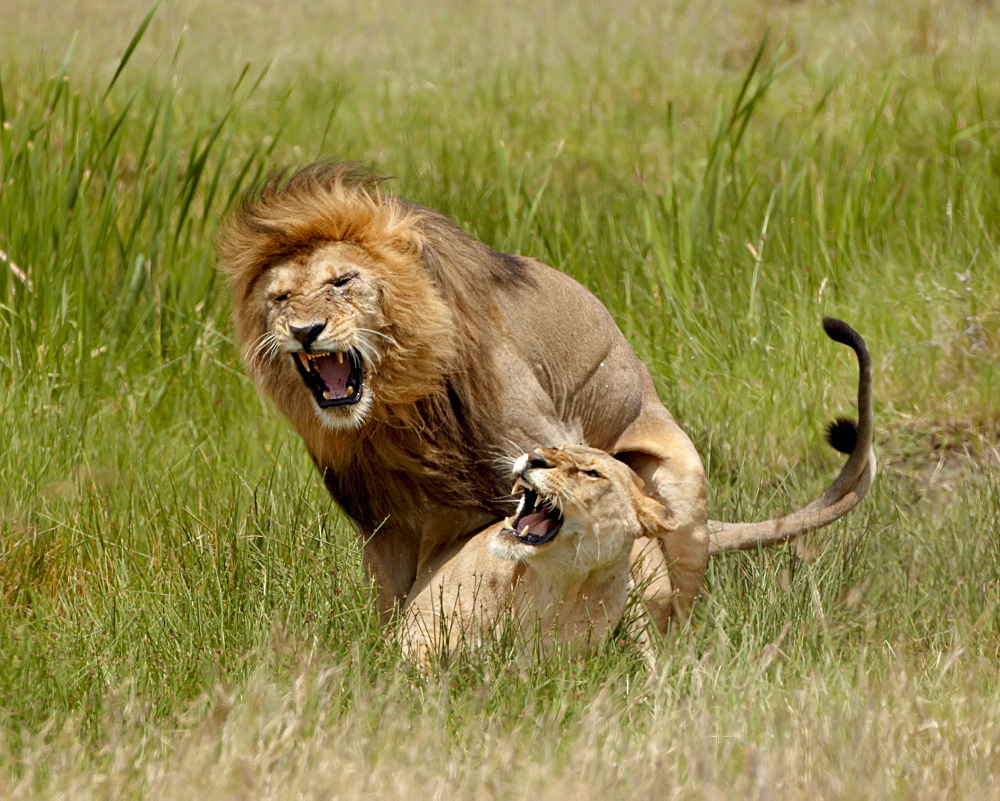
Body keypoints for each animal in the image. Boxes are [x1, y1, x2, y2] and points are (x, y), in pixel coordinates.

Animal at [215, 161, 872, 624]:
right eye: (279, 298)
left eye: (342, 282)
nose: (304, 331)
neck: (402, 412)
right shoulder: (383, 526)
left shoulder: (546, 451)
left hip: (682, 500)